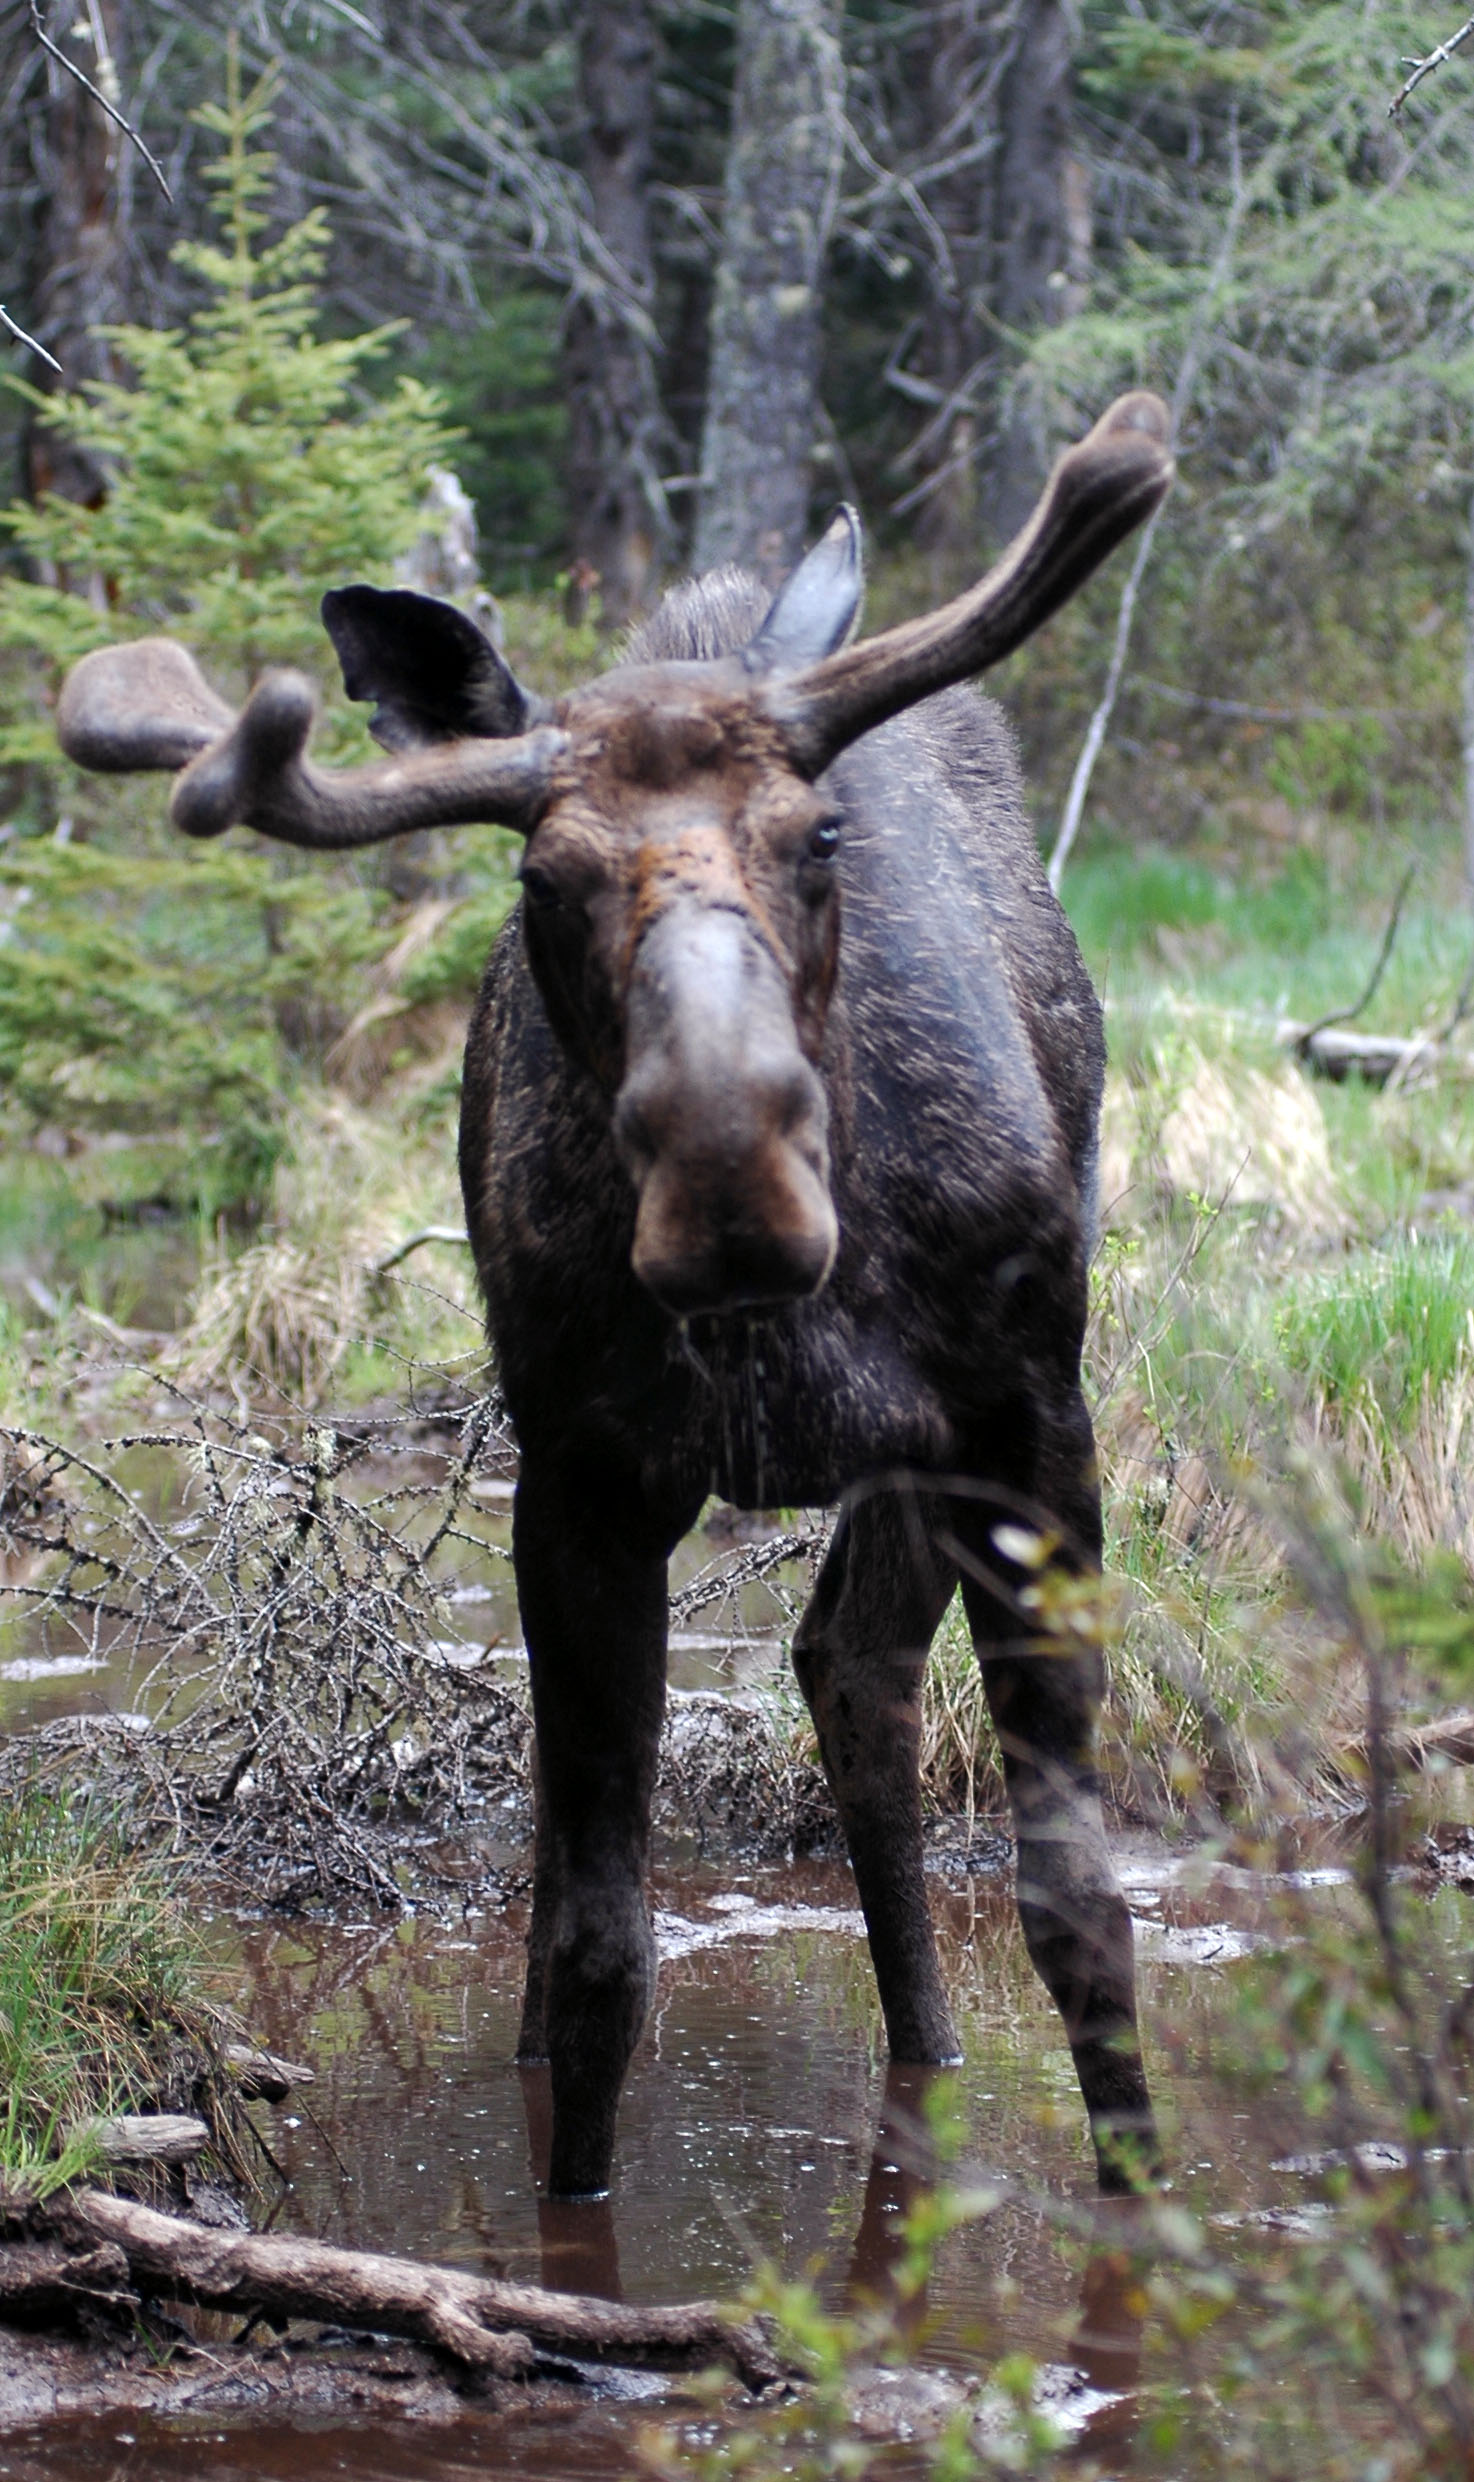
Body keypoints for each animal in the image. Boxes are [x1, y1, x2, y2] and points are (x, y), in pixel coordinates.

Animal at [60, 397, 1171, 2204]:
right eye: (540, 881)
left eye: (819, 835)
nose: (731, 1186)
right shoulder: (580, 1474)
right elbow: (598, 1951)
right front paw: (569, 2221)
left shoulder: (1024, 1423)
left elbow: (1076, 1903)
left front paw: (1145, 2207)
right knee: (730, 1720)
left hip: (928, 1451)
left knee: (852, 1671)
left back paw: (925, 2057)